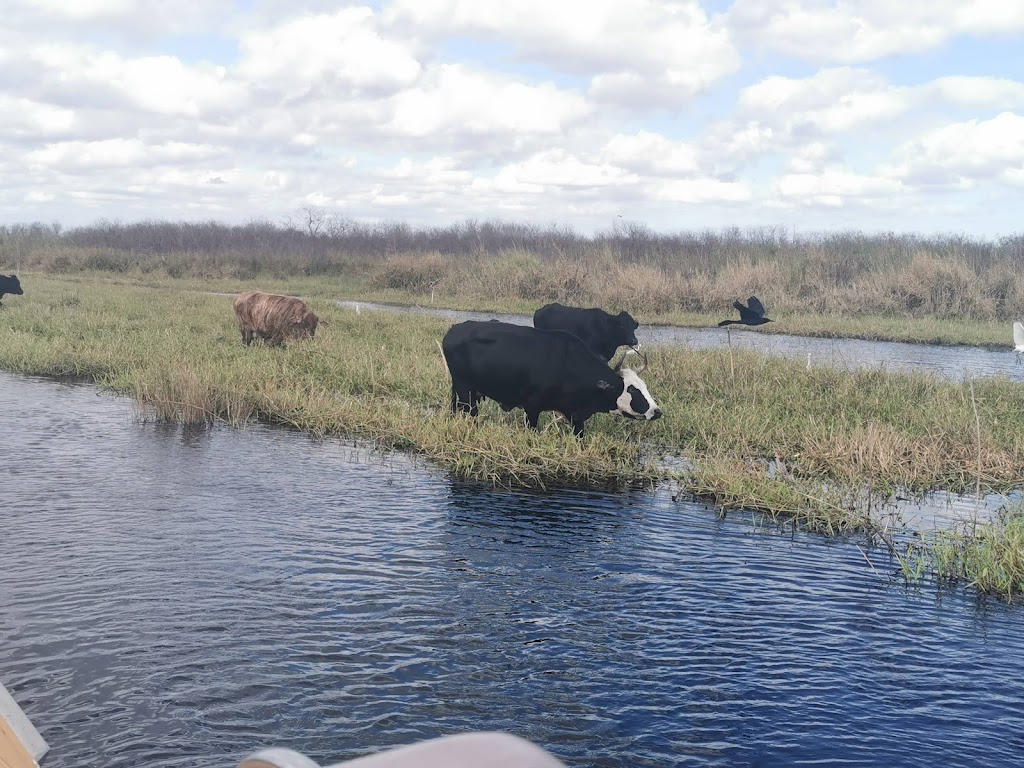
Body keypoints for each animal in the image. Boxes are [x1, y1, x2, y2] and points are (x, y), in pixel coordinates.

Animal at [440, 319, 663, 438]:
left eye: (644, 386)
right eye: (631, 389)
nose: (657, 411)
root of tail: (454, 329)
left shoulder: (575, 417)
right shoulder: (531, 407)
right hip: (466, 392)